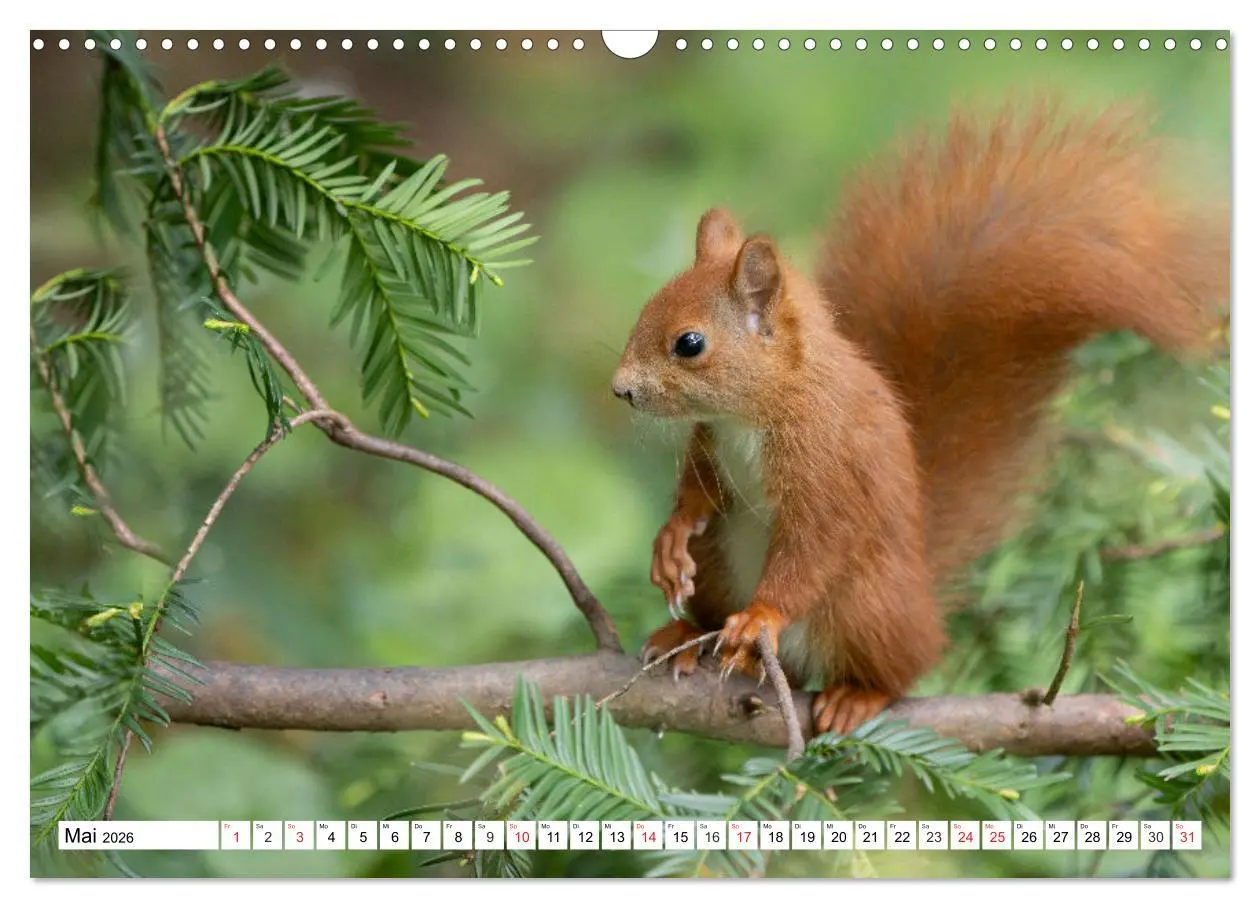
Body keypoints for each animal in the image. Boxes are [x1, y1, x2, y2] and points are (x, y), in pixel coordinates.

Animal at [610, 103, 1229, 736]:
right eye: (645, 309)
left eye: (690, 343)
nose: (621, 390)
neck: (753, 411)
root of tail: (921, 593)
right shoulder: (711, 440)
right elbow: (699, 489)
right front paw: (670, 540)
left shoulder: (826, 460)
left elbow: (816, 543)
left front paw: (761, 615)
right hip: (720, 562)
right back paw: (686, 635)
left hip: (868, 603)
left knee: (903, 665)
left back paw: (854, 694)